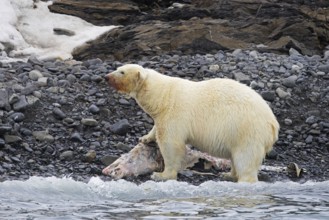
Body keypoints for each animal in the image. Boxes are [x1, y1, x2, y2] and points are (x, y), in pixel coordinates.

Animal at [105, 64, 280, 183]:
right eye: (118, 67)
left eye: (121, 71)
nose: (106, 76)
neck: (162, 97)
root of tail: (273, 124)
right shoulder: (163, 115)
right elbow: (156, 128)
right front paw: (145, 138)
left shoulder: (175, 114)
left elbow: (171, 144)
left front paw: (161, 175)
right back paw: (228, 174)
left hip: (247, 130)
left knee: (245, 158)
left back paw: (242, 179)